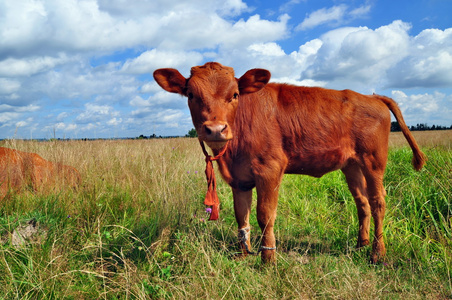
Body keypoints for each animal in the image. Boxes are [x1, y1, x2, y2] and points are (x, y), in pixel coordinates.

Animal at [154, 61, 426, 262]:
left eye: (235, 94)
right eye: (190, 94)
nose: (215, 129)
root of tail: (372, 97)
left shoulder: (270, 169)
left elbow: (265, 215)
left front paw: (268, 260)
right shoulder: (239, 179)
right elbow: (241, 215)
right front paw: (243, 255)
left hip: (374, 162)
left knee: (378, 201)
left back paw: (377, 254)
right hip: (352, 166)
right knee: (363, 203)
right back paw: (361, 245)